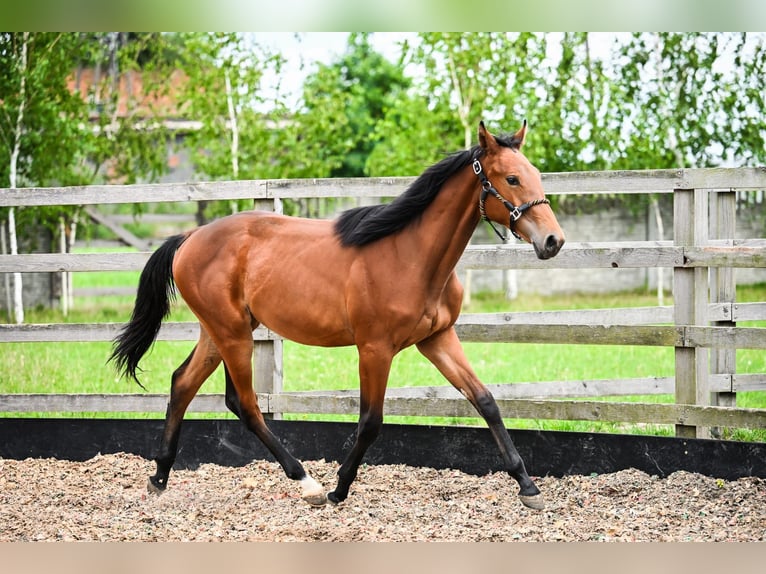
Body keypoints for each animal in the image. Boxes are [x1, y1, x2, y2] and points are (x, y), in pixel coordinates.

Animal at [109, 120, 565, 510]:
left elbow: (485, 401)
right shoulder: (375, 349)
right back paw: (307, 483)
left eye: (535, 173)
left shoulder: (437, 339)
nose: (553, 241)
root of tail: (189, 238)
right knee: (246, 403)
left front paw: (528, 487)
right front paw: (339, 489)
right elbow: (370, 421)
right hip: (232, 333)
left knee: (183, 384)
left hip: (218, 331)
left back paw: (159, 477)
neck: (411, 256)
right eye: (511, 178)